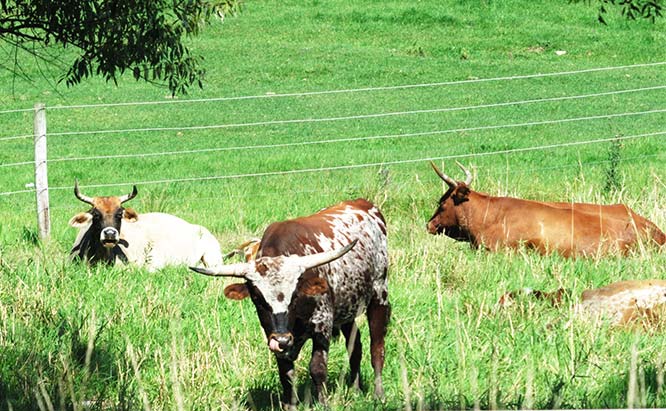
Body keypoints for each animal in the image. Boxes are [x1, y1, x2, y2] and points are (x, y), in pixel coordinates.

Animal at [188, 200, 390, 408]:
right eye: (257, 299)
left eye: (295, 295)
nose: (283, 340)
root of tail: (363, 203)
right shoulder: (274, 336)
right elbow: (286, 374)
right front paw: (290, 405)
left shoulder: (323, 324)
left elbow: (317, 367)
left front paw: (323, 403)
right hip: (347, 308)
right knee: (355, 345)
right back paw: (356, 390)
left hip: (379, 295)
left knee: (377, 347)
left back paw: (379, 394)